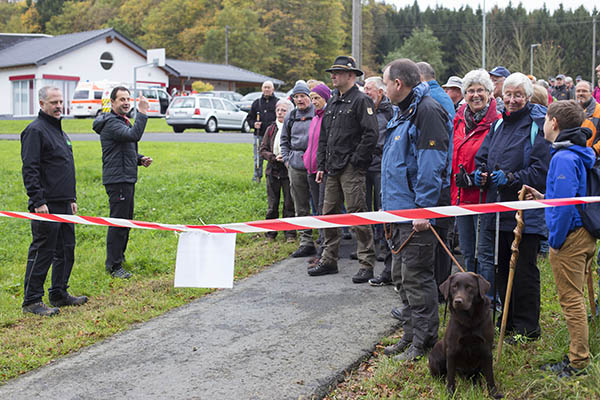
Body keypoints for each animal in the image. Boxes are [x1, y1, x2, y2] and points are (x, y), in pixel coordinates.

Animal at [426, 270, 502, 398]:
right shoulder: (452, 351)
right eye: (454, 287)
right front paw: (450, 393)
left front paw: (493, 393)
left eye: (469, 287)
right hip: (436, 358)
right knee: (442, 376)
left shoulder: (486, 350)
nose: (458, 301)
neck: (469, 320)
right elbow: (450, 377)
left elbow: (490, 376)